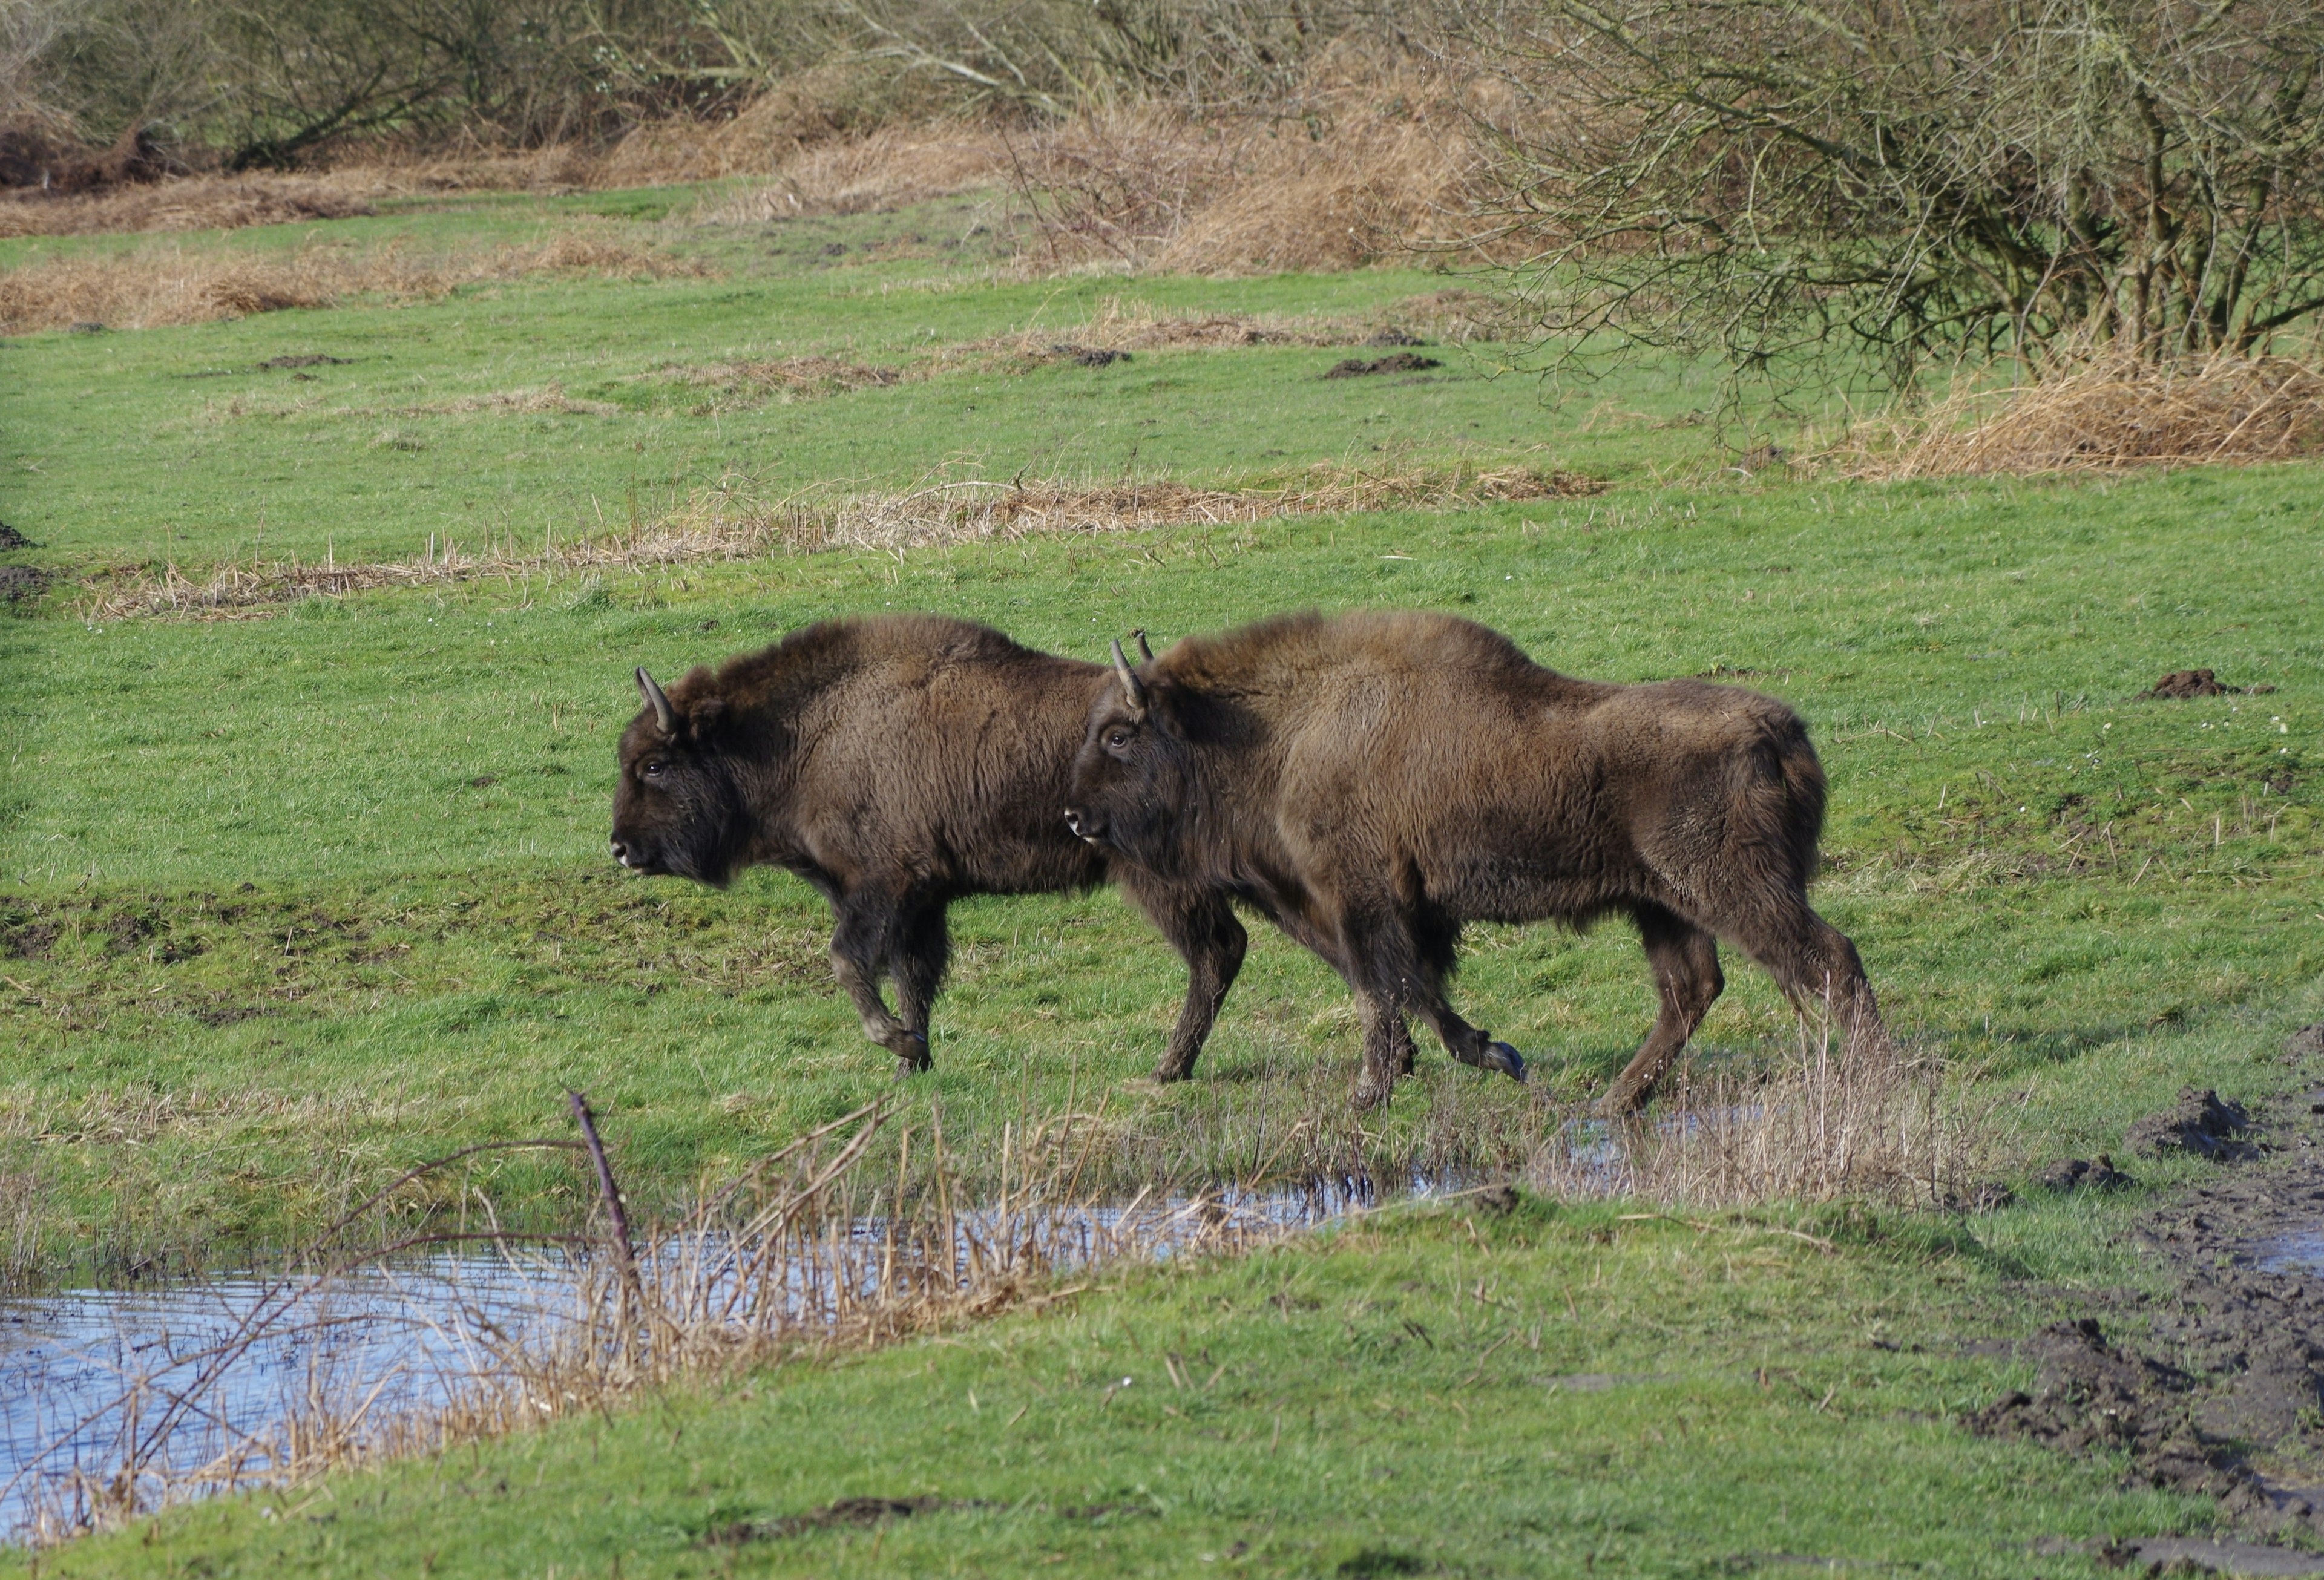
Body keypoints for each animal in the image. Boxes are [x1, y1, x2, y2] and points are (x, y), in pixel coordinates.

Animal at [609, 609, 1246, 1078]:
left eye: (656, 765)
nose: (619, 847)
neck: (809, 735)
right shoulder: (920, 902)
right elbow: (912, 976)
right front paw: (912, 1062)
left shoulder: (885, 884)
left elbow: (848, 960)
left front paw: (902, 1045)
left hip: (1158, 877)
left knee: (1217, 951)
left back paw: (1168, 1067)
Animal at [1064, 604, 1877, 1110]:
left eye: (1120, 736)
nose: (1075, 816)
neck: (1284, 729)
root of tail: (1781, 731)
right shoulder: (1385, 910)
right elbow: (1411, 989)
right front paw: (1491, 1055)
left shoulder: (1359, 898)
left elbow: (1381, 991)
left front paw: (1369, 1094)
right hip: (1663, 906)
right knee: (1691, 990)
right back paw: (1613, 1102)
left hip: (1735, 891)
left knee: (1828, 959)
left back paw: (1876, 1075)